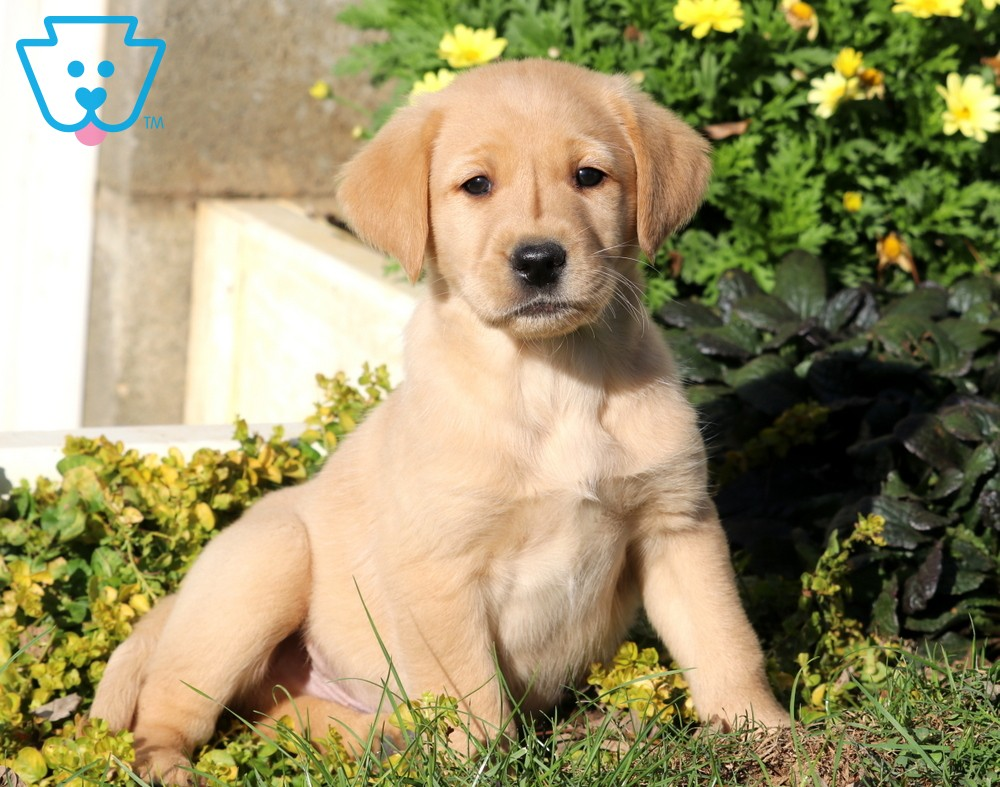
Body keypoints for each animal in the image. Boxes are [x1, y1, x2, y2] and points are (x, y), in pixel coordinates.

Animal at [90, 60, 784, 780]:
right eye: (476, 185)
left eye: (589, 176)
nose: (539, 260)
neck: (551, 381)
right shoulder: (439, 568)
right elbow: (470, 695)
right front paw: (485, 766)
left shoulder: (678, 525)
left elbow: (725, 640)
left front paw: (765, 736)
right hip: (261, 570)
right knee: (167, 705)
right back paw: (164, 765)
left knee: (278, 719)